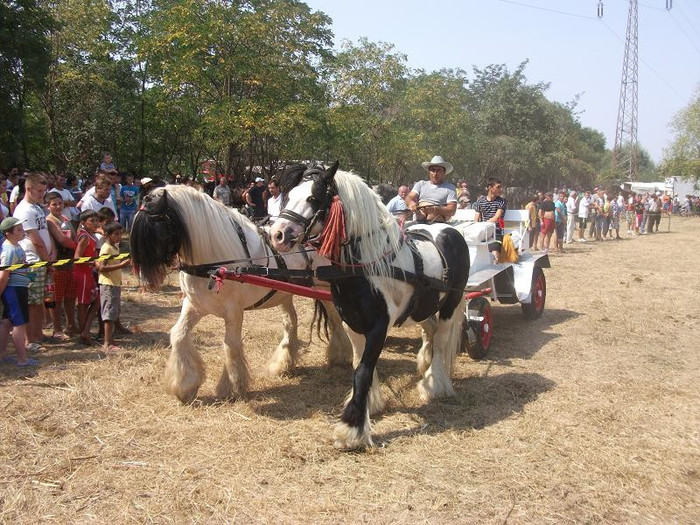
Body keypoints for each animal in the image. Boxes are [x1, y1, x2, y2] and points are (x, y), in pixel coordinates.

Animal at [129, 185, 352, 406]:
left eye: (157, 226)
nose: (147, 280)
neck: (213, 262)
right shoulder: (195, 305)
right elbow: (178, 334)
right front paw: (185, 386)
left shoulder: (234, 310)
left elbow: (231, 345)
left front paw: (232, 386)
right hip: (284, 292)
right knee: (291, 322)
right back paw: (283, 364)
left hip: (325, 289)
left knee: (335, 319)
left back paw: (341, 355)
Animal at [268, 162, 470, 448]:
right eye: (289, 196)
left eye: (313, 199)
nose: (278, 235)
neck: (366, 266)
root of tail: (451, 231)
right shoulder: (352, 322)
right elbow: (359, 363)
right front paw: (370, 405)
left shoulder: (379, 326)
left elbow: (363, 370)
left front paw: (351, 429)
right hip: (424, 306)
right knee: (429, 331)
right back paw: (424, 364)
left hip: (451, 304)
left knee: (442, 341)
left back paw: (434, 385)